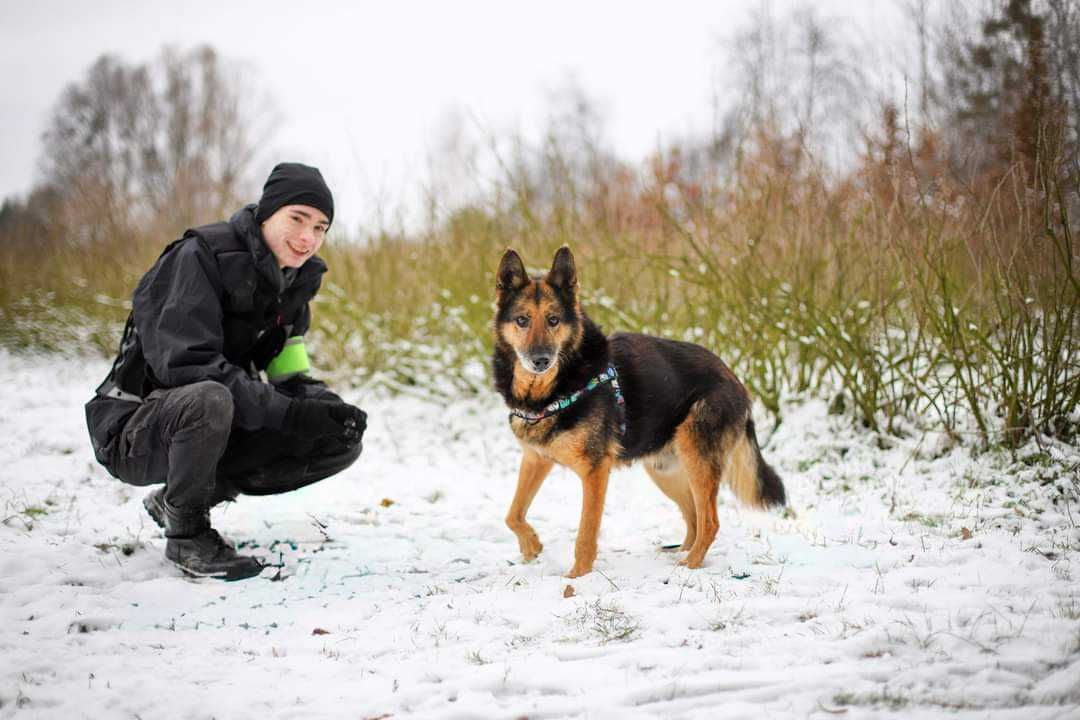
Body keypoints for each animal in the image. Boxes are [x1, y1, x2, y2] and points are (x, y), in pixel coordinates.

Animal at [492, 245, 786, 578]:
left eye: (553, 320)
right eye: (522, 320)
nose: (541, 360)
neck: (554, 388)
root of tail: (735, 379)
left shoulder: (595, 472)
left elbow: (585, 533)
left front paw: (578, 578)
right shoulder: (535, 460)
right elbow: (512, 514)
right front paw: (532, 546)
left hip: (696, 459)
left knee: (710, 521)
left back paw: (688, 566)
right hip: (664, 469)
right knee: (694, 517)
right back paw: (680, 554)